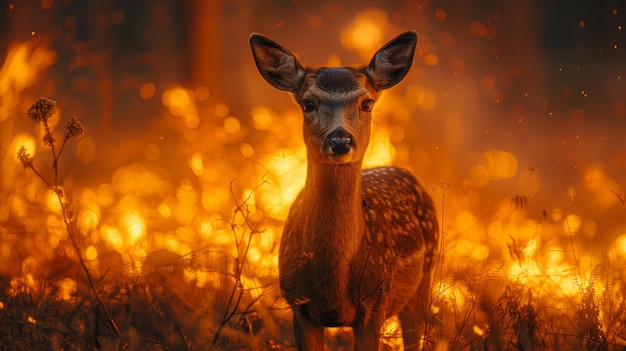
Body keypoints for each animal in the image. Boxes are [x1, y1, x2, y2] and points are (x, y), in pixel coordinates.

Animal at [249, 31, 438, 350]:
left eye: (367, 103)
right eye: (308, 103)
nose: (340, 141)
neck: (332, 284)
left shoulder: (374, 304)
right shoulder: (298, 305)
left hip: (425, 276)